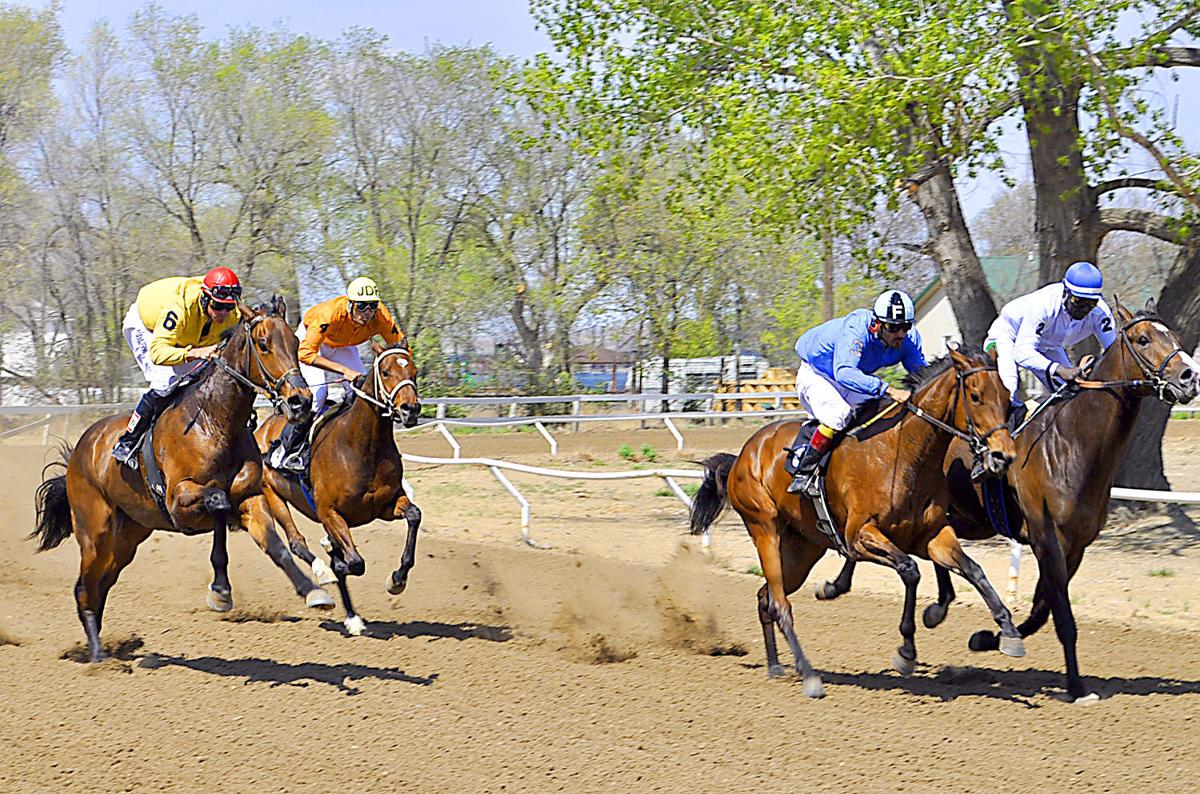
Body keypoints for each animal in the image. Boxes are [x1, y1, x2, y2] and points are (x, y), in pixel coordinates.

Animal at [33, 299, 321, 666]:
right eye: (263, 344)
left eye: (297, 343)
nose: (301, 401)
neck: (215, 422)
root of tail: (79, 452)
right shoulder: (179, 501)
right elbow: (218, 502)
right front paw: (221, 591)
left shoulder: (250, 499)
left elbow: (275, 546)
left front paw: (313, 591)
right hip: (94, 531)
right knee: (84, 587)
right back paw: (98, 657)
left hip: (128, 536)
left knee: (101, 584)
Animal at [254, 338, 422, 638]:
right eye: (386, 372)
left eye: (413, 371)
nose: (410, 410)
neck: (364, 446)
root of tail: (264, 427)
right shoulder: (328, 512)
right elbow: (354, 562)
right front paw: (336, 562)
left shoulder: (385, 505)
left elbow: (414, 515)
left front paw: (397, 579)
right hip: (273, 494)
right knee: (296, 542)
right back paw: (327, 576)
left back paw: (352, 614)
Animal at [691, 347, 1017, 695]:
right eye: (976, 396)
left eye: (1007, 396)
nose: (1003, 456)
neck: (904, 452)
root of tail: (741, 455)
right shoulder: (860, 537)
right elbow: (910, 571)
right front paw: (906, 651)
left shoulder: (931, 535)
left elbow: (973, 569)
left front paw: (1009, 630)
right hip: (764, 529)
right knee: (779, 603)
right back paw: (808, 674)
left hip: (803, 549)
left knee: (765, 597)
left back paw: (776, 665)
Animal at [816, 298, 1200, 705]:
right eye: (1143, 339)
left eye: (1175, 336)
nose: (1189, 376)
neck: (1071, 443)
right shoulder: (1046, 538)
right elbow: (1061, 616)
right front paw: (1076, 686)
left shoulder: (1076, 546)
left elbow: (1042, 609)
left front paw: (990, 637)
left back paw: (912, 601)